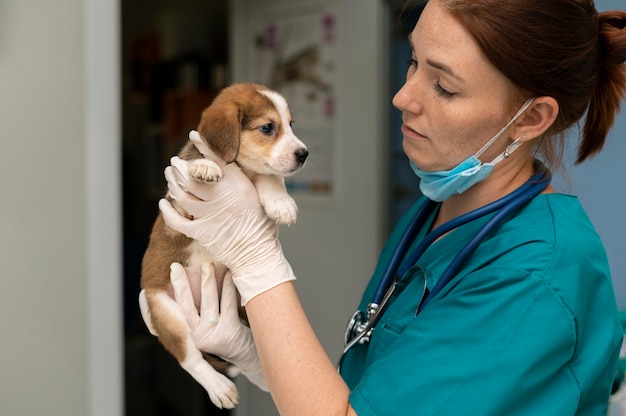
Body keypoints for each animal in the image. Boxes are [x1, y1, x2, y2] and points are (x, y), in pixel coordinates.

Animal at [140, 83, 308, 408]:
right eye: (268, 127)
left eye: (291, 125)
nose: (304, 154)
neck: (240, 169)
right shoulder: (178, 212)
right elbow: (203, 164)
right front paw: (205, 165)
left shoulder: (259, 176)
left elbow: (269, 176)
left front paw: (279, 201)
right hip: (164, 310)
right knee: (190, 357)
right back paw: (218, 386)